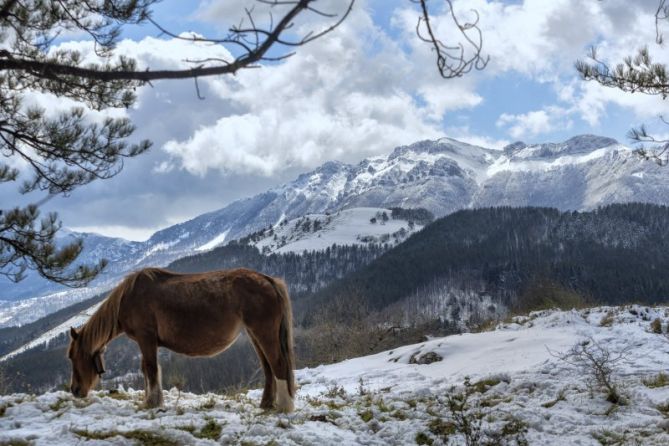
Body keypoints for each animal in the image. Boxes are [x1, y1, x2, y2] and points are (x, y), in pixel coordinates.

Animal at [68, 268, 294, 412]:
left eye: (72, 356)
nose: (75, 391)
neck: (129, 297)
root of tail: (268, 280)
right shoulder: (145, 341)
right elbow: (146, 370)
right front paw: (150, 401)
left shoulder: (146, 338)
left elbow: (150, 369)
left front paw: (152, 403)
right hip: (255, 336)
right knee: (268, 368)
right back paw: (266, 405)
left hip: (263, 333)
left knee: (278, 366)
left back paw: (284, 407)